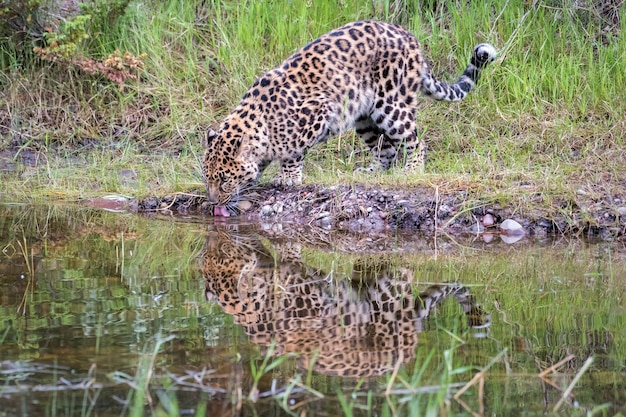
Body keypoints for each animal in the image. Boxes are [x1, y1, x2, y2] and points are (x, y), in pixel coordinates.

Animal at [202, 19, 494, 216]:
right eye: (207, 179)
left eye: (224, 179)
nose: (213, 202)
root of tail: (409, 37)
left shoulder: (318, 112)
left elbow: (293, 152)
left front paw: (288, 177)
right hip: (364, 118)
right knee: (385, 149)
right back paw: (373, 171)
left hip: (392, 106)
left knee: (415, 140)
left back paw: (413, 169)